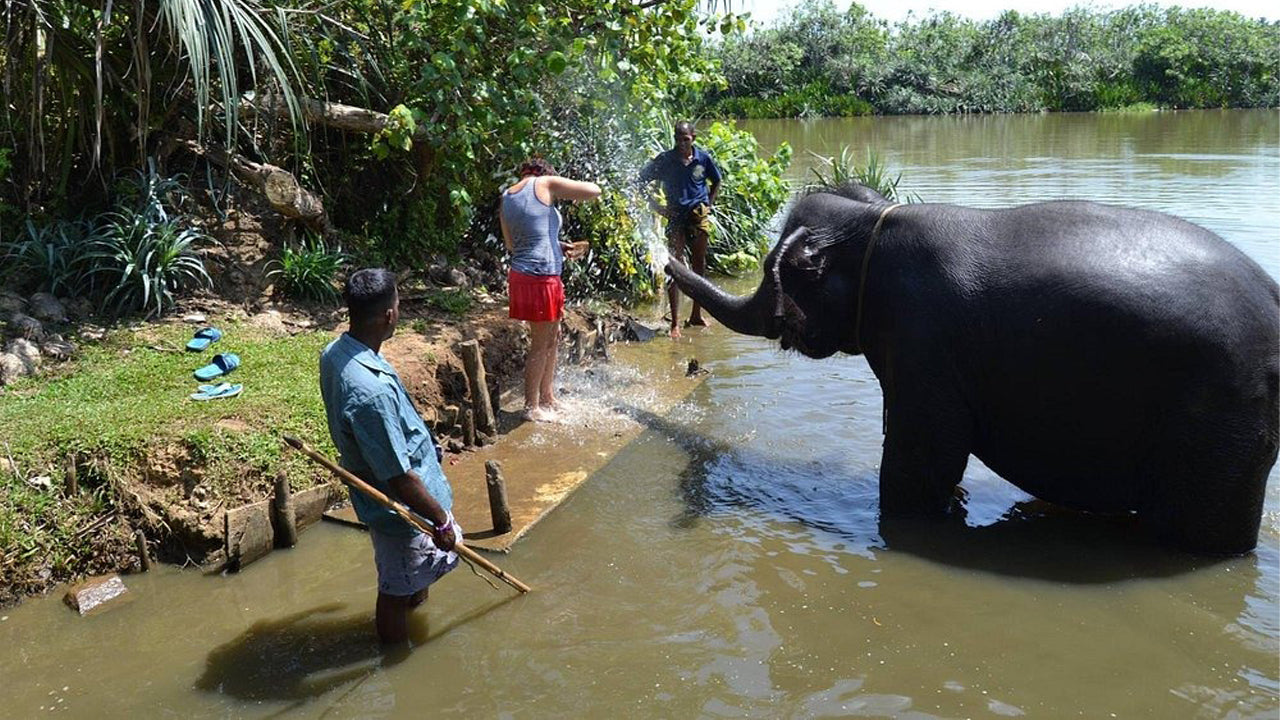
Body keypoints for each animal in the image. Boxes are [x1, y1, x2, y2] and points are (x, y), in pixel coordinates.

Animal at [666, 184, 1279, 554]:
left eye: (781, 269)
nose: (662, 258)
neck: (873, 220)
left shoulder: (923, 339)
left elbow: (922, 459)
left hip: (1217, 419)